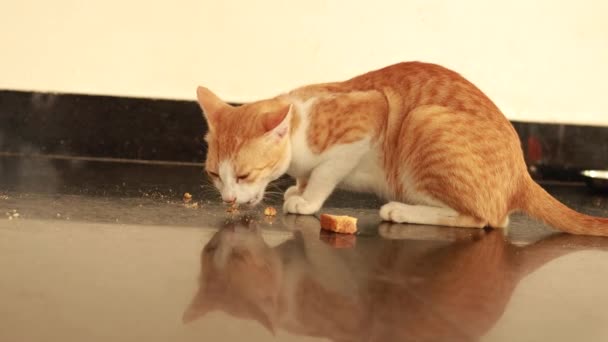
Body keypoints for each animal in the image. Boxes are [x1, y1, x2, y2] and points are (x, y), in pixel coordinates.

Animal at [195, 61, 608, 236]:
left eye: (244, 174)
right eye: (215, 174)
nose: (228, 199)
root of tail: (521, 173)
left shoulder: (368, 117)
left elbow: (325, 173)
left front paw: (307, 199)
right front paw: (298, 188)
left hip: (423, 122)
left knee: (487, 219)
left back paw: (402, 210)